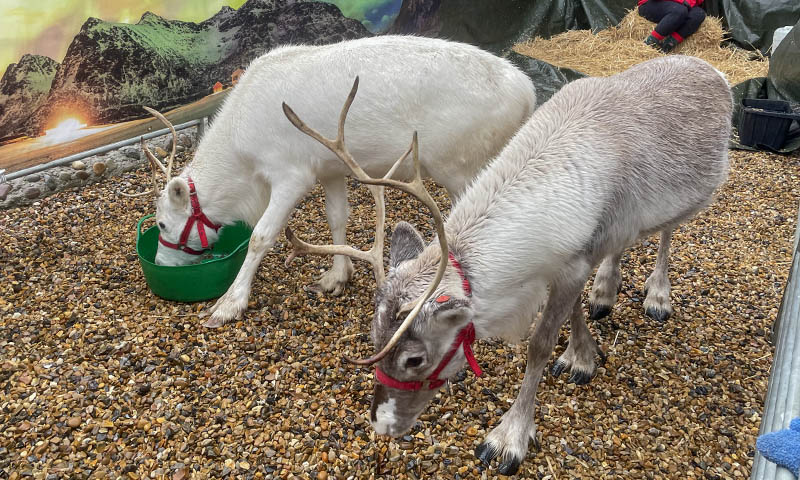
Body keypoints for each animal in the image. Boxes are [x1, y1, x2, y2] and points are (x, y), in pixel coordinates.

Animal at [129, 35, 537, 328]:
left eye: (163, 223)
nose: (161, 261)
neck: (242, 162)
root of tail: (529, 93)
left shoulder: (291, 173)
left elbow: (261, 235)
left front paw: (228, 303)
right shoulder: (330, 169)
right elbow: (337, 217)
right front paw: (336, 277)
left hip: (462, 167)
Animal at [282, 54, 732, 475]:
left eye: (415, 359)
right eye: (374, 337)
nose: (382, 425)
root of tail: (712, 69)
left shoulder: (573, 262)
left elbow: (539, 345)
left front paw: (509, 437)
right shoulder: (572, 258)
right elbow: (573, 309)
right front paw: (583, 354)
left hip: (697, 194)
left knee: (667, 232)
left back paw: (658, 294)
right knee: (622, 245)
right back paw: (605, 290)